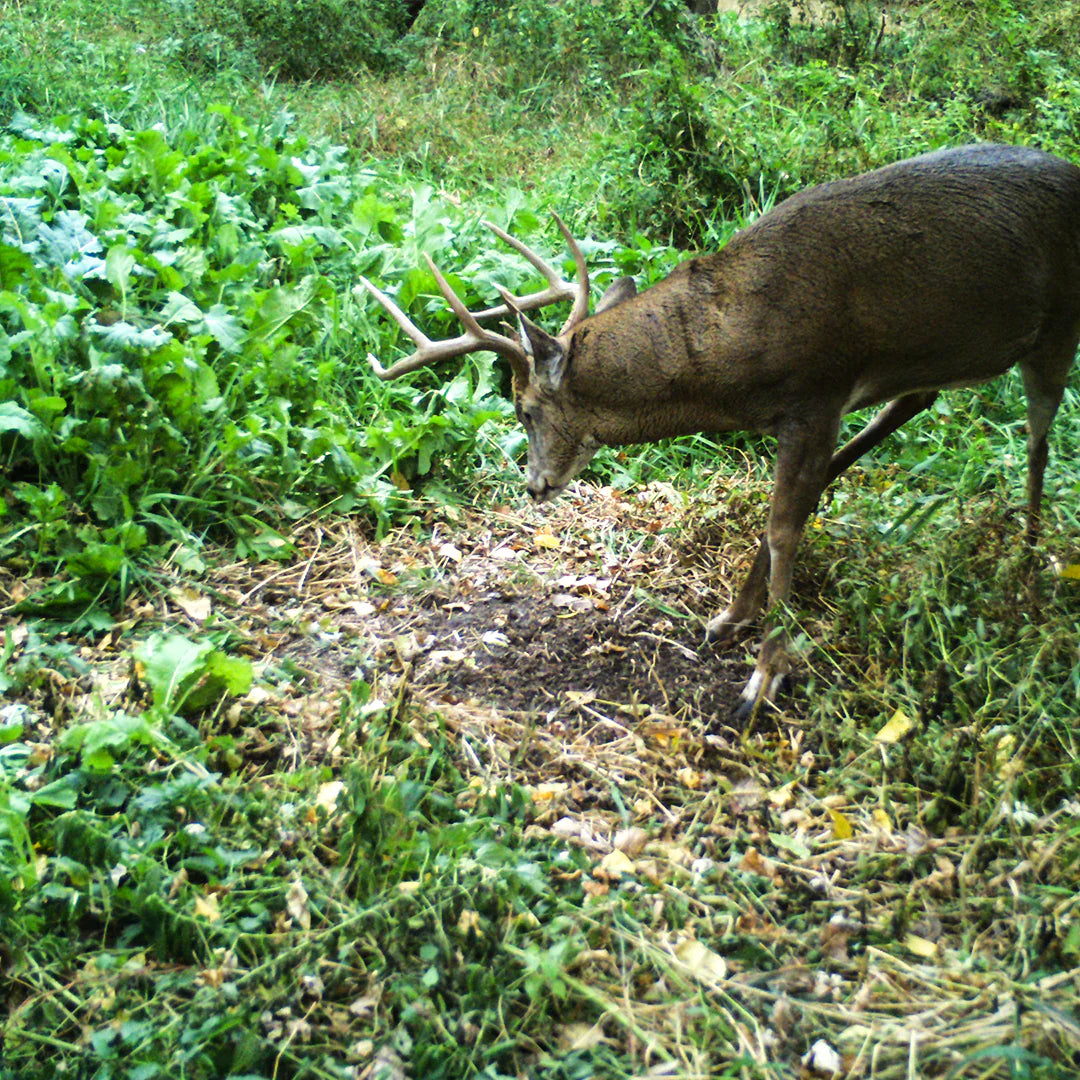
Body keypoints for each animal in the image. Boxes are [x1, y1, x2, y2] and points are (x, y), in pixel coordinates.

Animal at [356, 143, 1080, 717]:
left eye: (523, 410)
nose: (534, 485)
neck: (734, 349)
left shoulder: (816, 392)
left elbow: (785, 526)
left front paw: (764, 677)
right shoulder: (812, 409)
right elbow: (788, 511)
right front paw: (730, 617)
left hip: (1057, 327)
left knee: (1038, 439)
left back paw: (1026, 571)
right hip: (930, 360)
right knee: (912, 406)